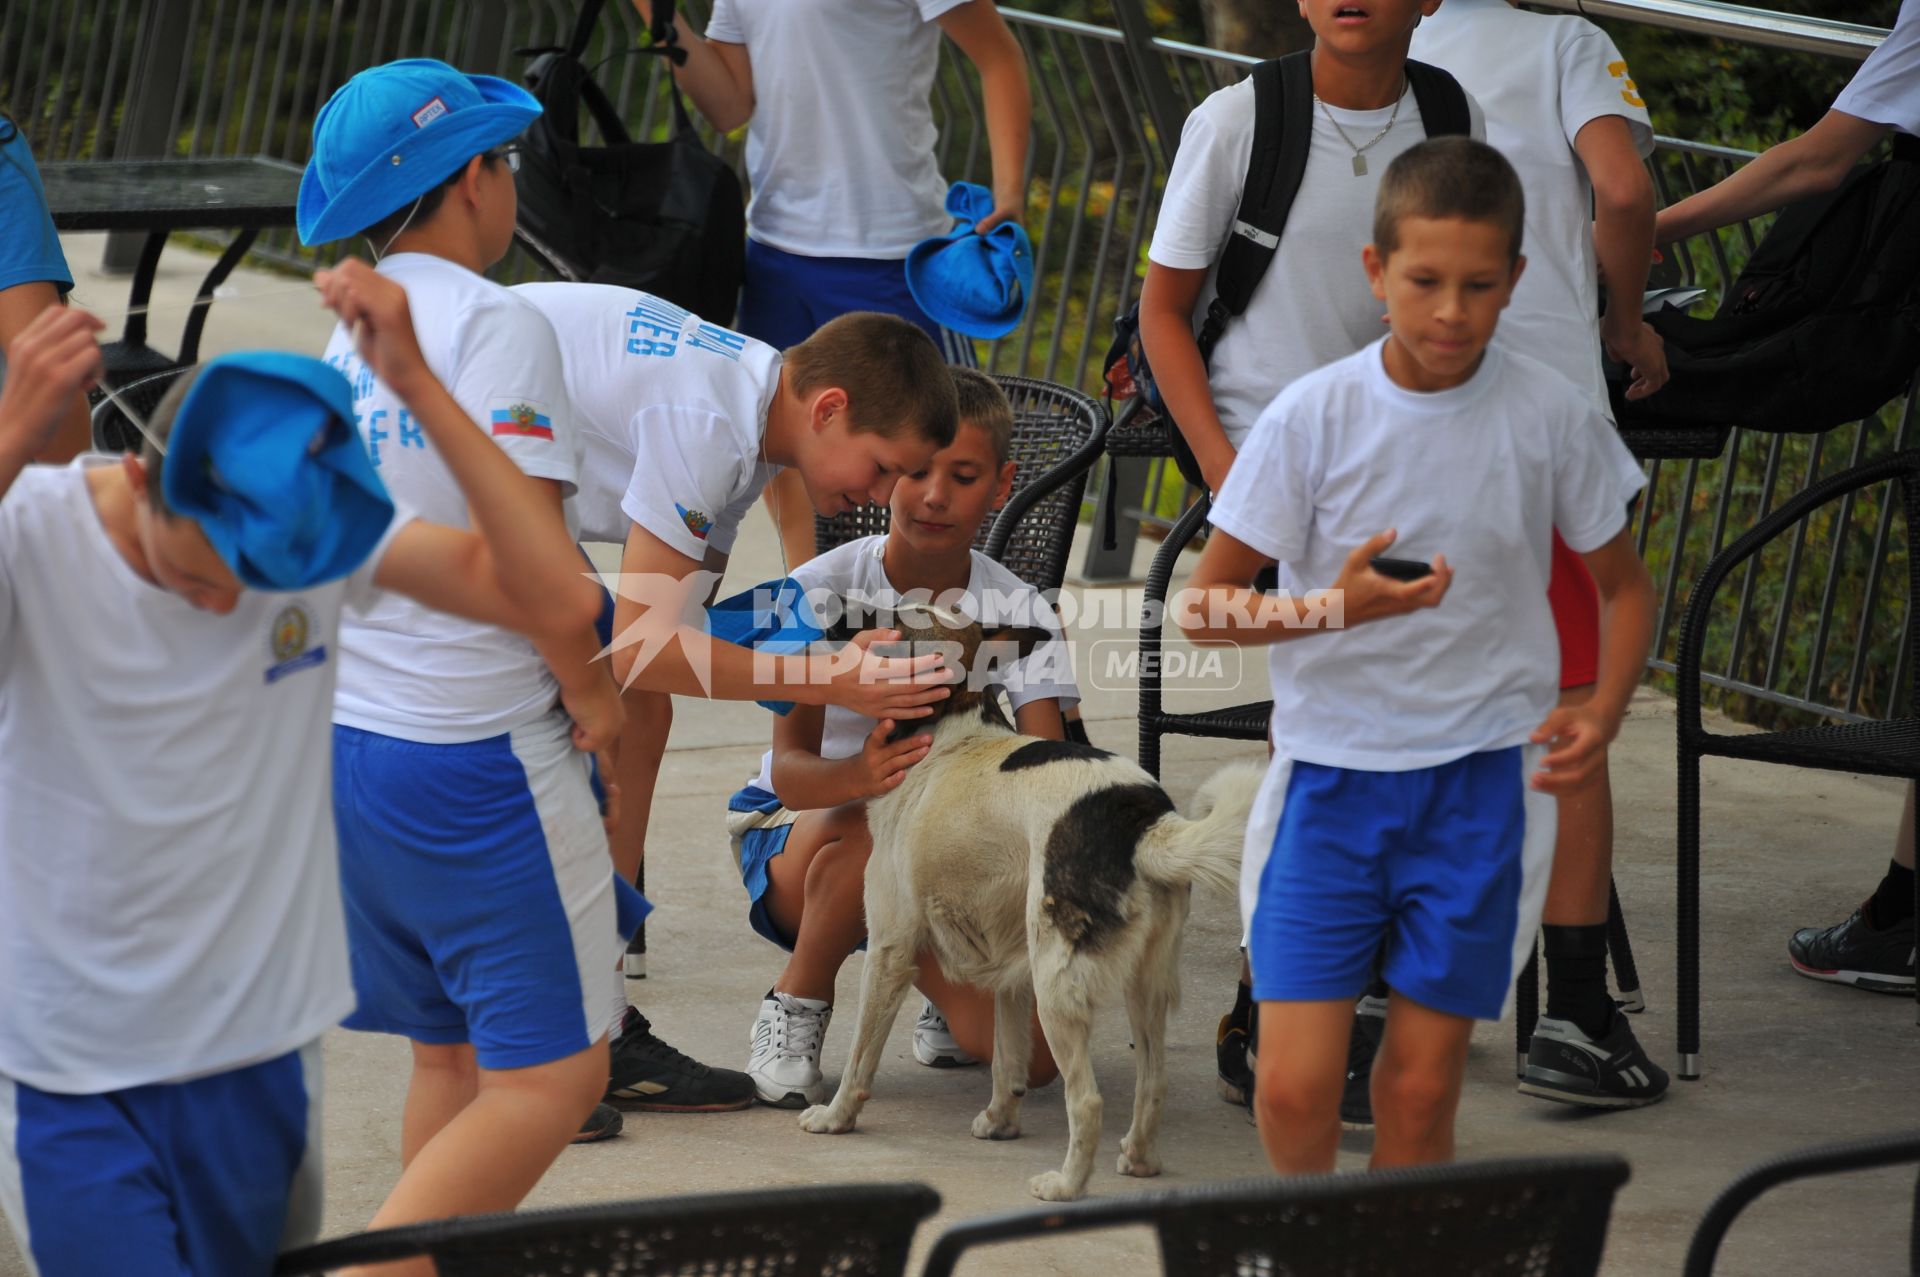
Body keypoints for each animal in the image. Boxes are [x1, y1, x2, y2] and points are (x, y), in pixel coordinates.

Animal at [794, 599, 1259, 1198]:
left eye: (894, 619)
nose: (830, 607)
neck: (949, 730)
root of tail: (1142, 822)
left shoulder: (889, 949)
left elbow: (859, 1057)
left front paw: (836, 1117)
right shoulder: (1009, 969)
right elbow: (1006, 1061)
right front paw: (1000, 1122)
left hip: (1056, 984)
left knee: (1086, 1101)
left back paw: (1066, 1185)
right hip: (1140, 985)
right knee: (1152, 1081)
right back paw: (1138, 1159)